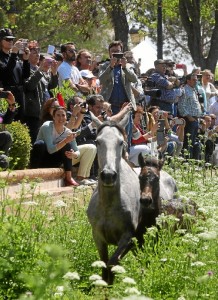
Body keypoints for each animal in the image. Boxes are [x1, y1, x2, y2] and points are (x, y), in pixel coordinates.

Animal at [87, 115, 141, 284]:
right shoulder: (98, 236)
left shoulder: (126, 236)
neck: (108, 206)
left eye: (121, 142)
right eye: (97, 141)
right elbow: (104, 264)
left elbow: (112, 262)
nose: (108, 175)